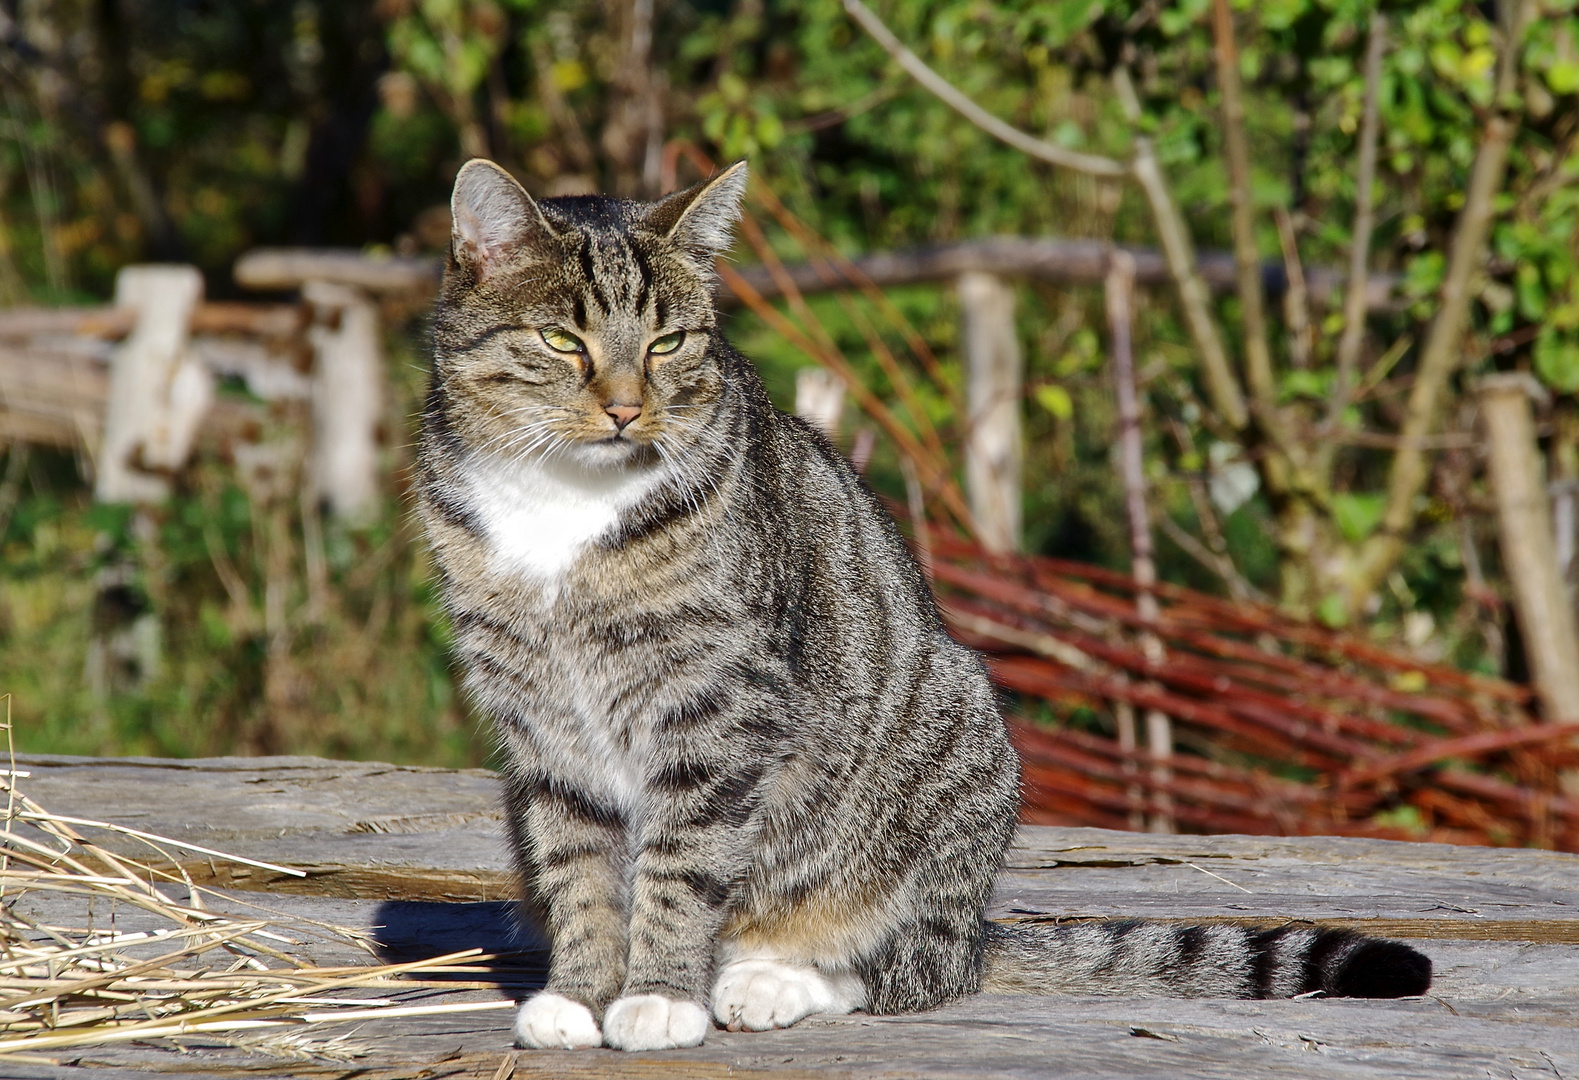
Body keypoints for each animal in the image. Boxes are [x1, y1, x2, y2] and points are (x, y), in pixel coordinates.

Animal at [416, 156, 1433, 1048]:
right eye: (562, 340)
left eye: (667, 344)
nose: (627, 408)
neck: (565, 503)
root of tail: (980, 927)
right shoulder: (540, 724)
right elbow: (578, 870)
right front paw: (583, 997)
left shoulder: (719, 701)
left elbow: (680, 861)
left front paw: (659, 997)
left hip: (947, 742)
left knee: (907, 969)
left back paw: (770, 979)